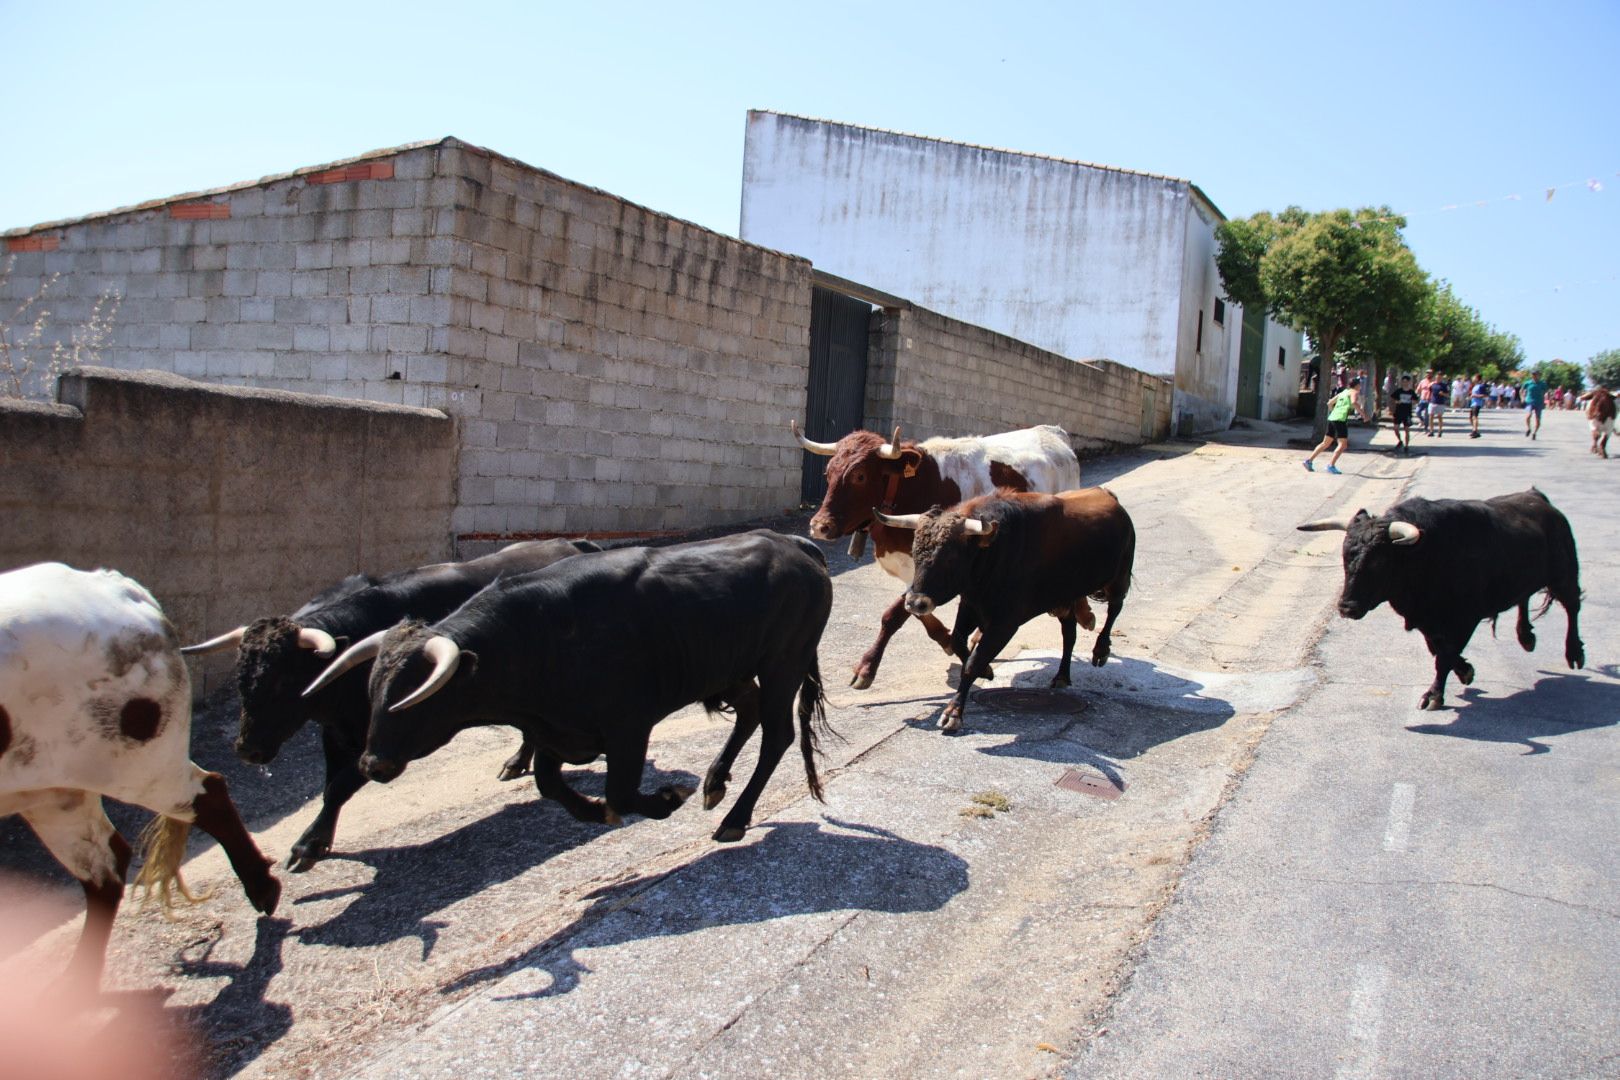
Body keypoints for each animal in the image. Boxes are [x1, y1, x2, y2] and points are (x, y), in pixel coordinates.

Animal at [0, 566, 280, 990]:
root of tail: (116, 586)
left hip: (133, 760)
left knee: (205, 794)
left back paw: (262, 887)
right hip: (51, 789)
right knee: (104, 865)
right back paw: (76, 984)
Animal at [183, 537, 599, 874]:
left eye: (285, 680)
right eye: (240, 676)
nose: (247, 749)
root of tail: (572, 543)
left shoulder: (389, 740)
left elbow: (341, 785)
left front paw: (307, 845)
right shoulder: (338, 732)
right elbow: (330, 785)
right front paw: (319, 839)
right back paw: (517, 762)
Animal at [304, 531, 835, 841]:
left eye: (414, 698)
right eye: (373, 690)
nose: (370, 763)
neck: (535, 635)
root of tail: (795, 546)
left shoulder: (628, 726)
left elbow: (621, 792)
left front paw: (665, 799)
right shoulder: (555, 730)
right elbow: (549, 784)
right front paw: (592, 809)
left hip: (784, 663)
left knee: (777, 735)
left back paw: (734, 819)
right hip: (731, 669)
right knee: (748, 713)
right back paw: (714, 783)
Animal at [793, 417, 1082, 689]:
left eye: (860, 476)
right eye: (828, 473)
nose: (819, 526)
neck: (912, 488)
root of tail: (1052, 432)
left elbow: (893, 615)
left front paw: (867, 668)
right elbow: (918, 609)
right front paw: (947, 640)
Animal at [1296, 488, 1587, 709]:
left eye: (1379, 561)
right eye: (1346, 556)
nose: (1346, 607)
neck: (1425, 553)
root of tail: (1538, 498)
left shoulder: (1464, 618)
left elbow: (1444, 654)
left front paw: (1434, 695)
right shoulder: (1426, 619)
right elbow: (1438, 649)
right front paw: (1465, 670)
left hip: (1564, 574)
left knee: (1572, 607)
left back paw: (1574, 652)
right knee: (1524, 596)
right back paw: (1526, 636)